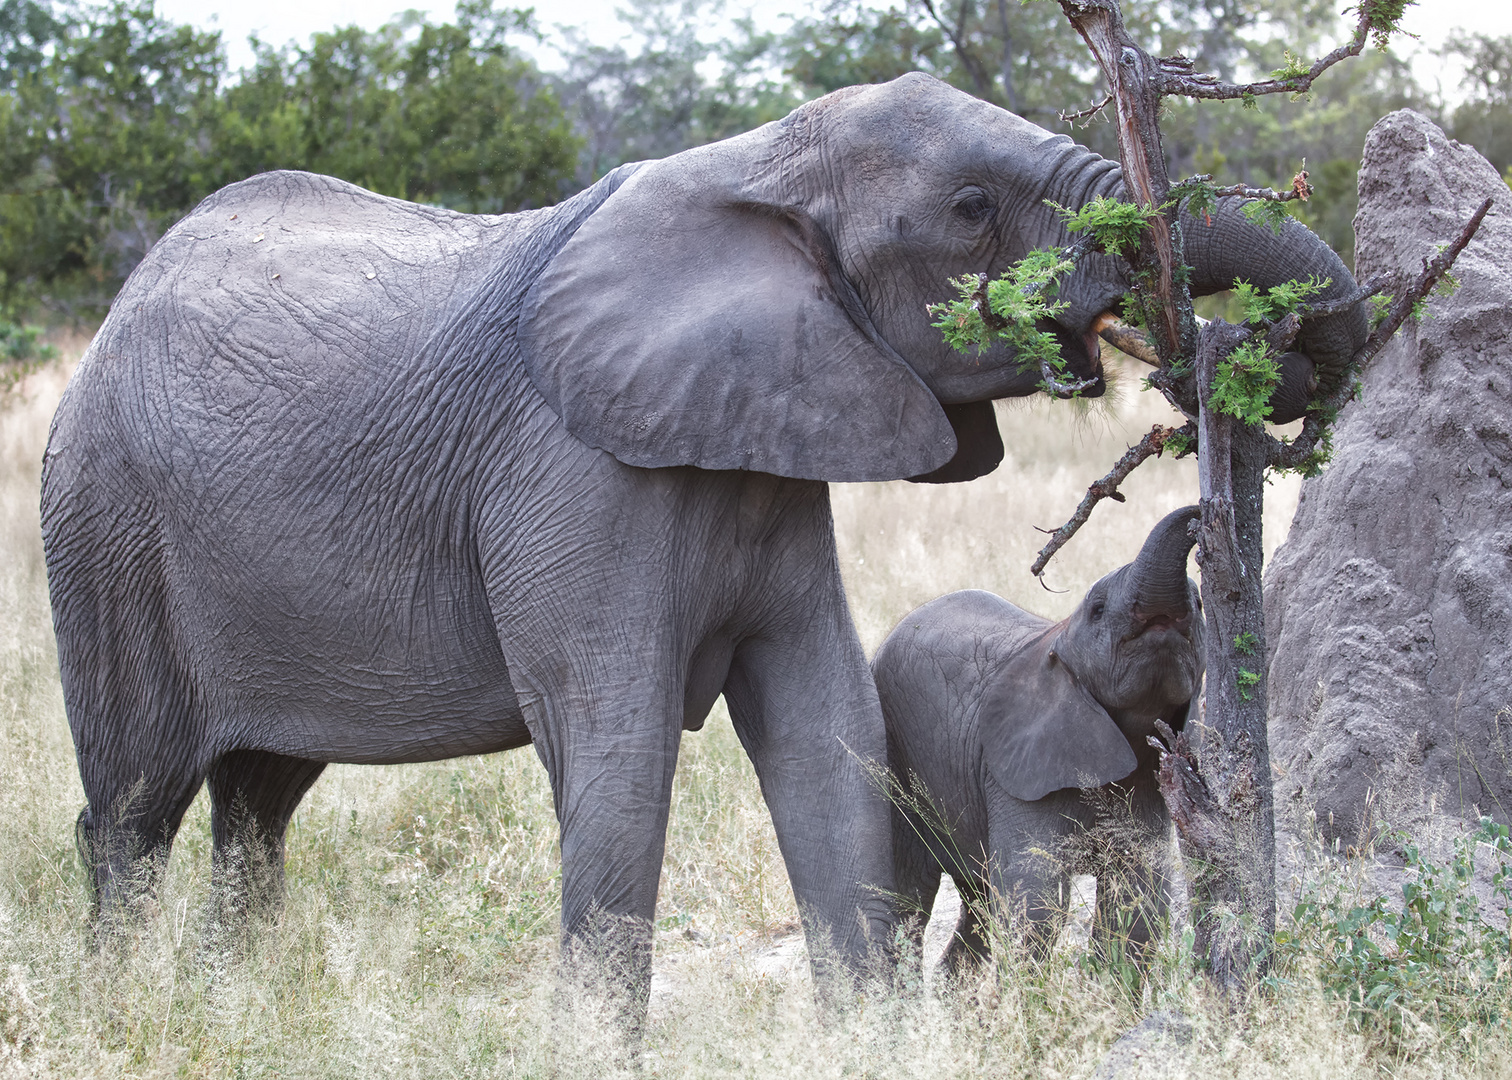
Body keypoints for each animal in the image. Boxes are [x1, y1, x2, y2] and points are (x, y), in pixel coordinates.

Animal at [876, 505, 1203, 968]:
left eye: (1200, 604)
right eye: (1098, 610)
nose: (1198, 515)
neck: (1060, 635)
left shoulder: (1149, 780)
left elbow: (1139, 897)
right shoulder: (1012, 771)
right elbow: (1035, 899)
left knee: (976, 896)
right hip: (896, 759)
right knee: (909, 895)